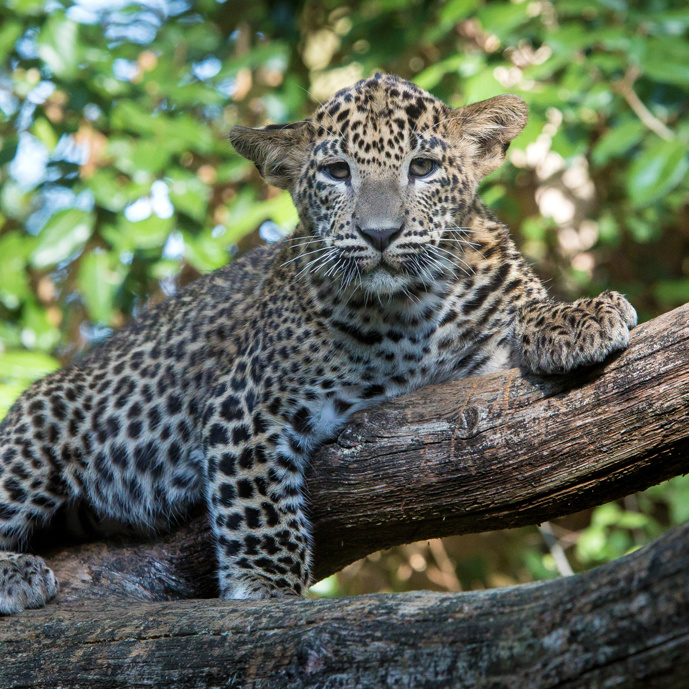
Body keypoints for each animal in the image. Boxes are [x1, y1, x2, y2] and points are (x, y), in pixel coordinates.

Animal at [0, 73, 636, 614]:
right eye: (336, 173)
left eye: (423, 167)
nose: (380, 234)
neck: (411, 309)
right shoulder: (243, 403)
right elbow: (258, 503)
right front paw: (266, 585)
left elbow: (527, 311)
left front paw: (582, 316)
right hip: (35, 441)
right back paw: (17, 573)